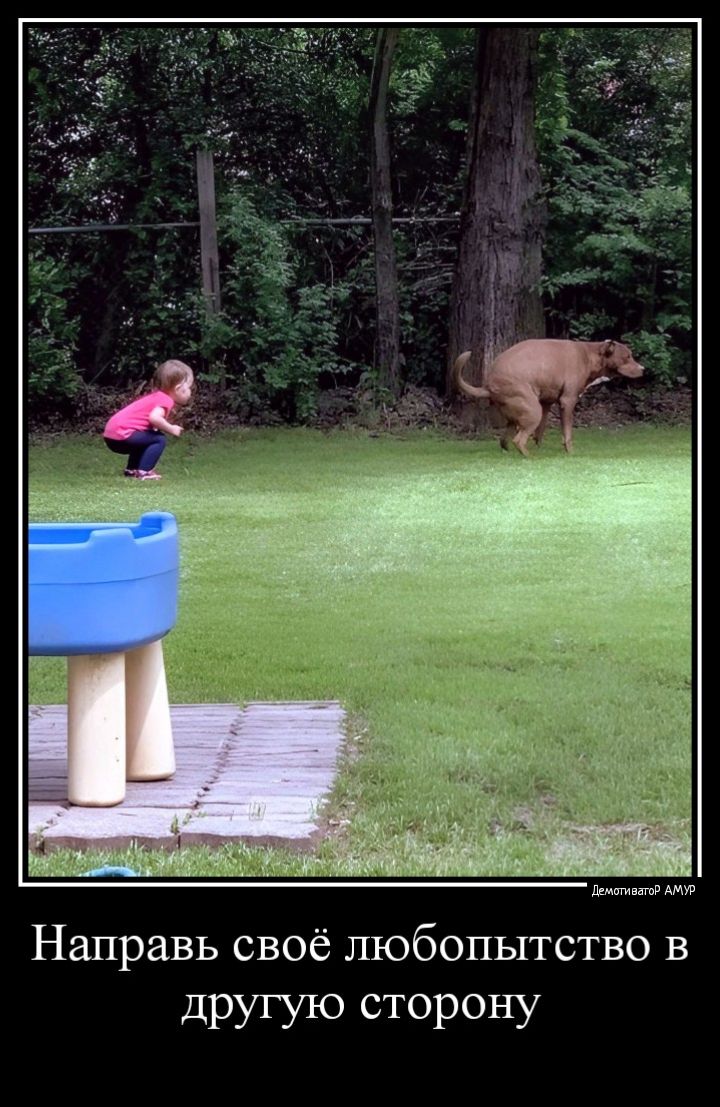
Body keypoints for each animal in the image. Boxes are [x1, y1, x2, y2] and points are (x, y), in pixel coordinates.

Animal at [451, 338, 642, 456]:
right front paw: (570, 452)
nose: (643, 369)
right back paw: (530, 457)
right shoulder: (567, 401)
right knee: (518, 440)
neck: (590, 355)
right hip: (532, 409)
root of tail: (488, 385)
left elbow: (540, 432)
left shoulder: (546, 403)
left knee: (504, 440)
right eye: (627, 357)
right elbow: (567, 433)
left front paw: (541, 447)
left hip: (519, 414)